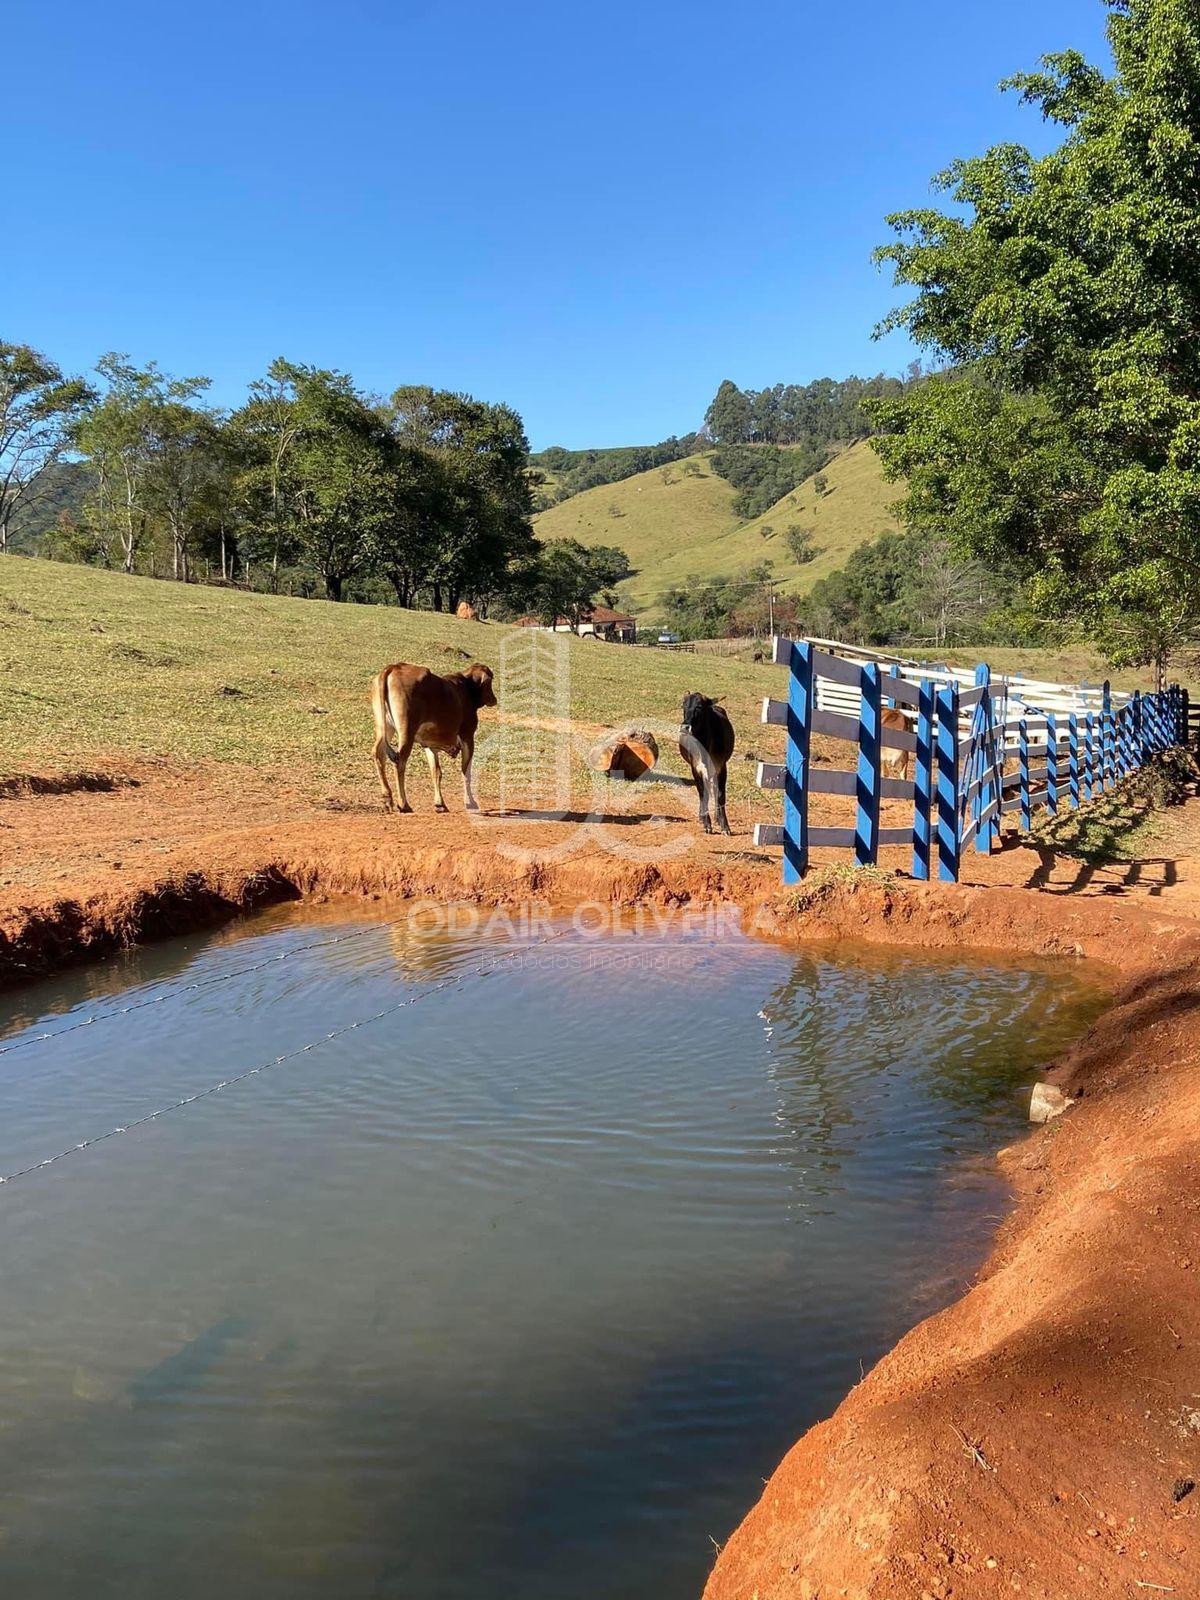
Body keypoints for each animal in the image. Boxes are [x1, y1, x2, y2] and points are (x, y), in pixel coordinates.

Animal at [369, 659, 496, 812]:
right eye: (491, 681)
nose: (494, 699)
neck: (466, 688)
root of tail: (394, 667)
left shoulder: (428, 744)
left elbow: (436, 772)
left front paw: (440, 803)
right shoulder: (467, 736)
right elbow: (466, 771)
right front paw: (470, 802)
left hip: (385, 727)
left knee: (379, 754)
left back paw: (387, 798)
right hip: (406, 731)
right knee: (399, 761)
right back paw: (403, 804)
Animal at [681, 691, 739, 838]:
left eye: (699, 707)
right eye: (683, 706)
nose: (685, 727)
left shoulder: (722, 767)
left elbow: (720, 795)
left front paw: (725, 826)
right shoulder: (695, 768)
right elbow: (703, 794)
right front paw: (707, 823)